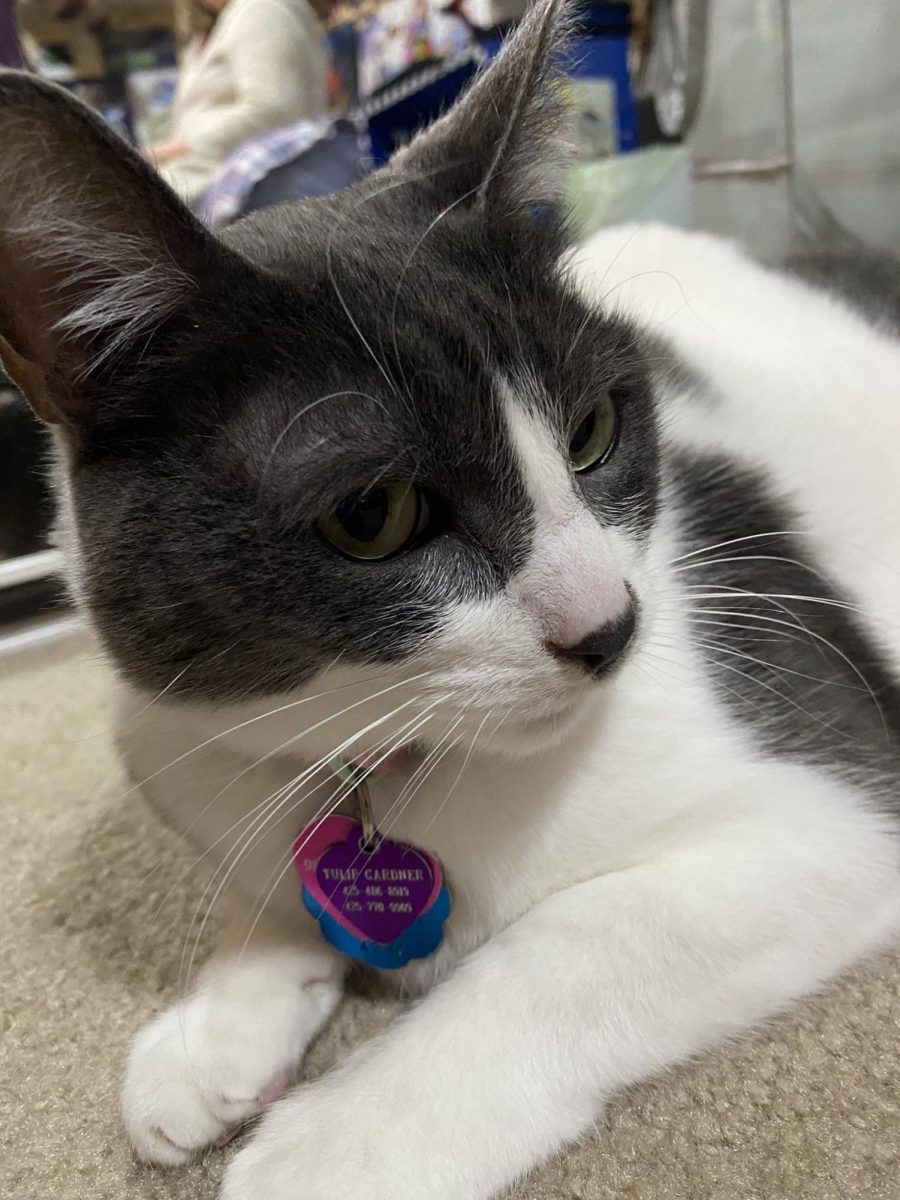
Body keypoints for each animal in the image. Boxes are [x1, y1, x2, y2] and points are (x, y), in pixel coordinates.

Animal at [1, 4, 900, 1195]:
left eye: (592, 431)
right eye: (373, 515)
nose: (612, 625)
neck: (396, 756)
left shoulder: (832, 806)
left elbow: (567, 949)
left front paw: (343, 1140)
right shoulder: (177, 741)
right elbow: (270, 873)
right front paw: (220, 1017)